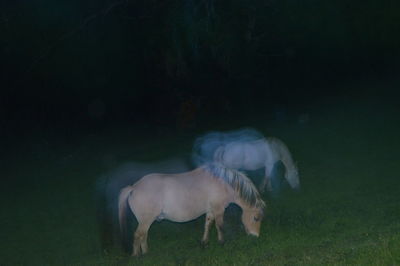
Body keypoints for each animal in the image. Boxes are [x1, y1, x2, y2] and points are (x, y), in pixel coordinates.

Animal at [117, 163, 266, 256]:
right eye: (256, 218)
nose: (255, 237)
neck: (223, 182)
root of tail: (134, 187)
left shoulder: (211, 210)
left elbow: (208, 225)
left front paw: (204, 243)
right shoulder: (219, 209)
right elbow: (220, 226)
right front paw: (222, 242)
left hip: (146, 221)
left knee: (143, 235)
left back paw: (146, 253)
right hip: (146, 220)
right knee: (138, 235)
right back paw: (137, 255)